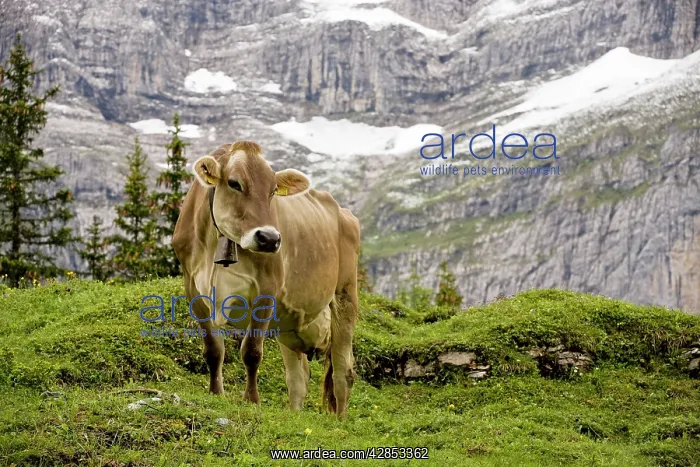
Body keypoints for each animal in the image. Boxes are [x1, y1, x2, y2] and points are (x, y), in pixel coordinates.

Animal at [172, 141, 361, 417]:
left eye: (273, 191)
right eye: (235, 183)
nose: (270, 239)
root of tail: (344, 213)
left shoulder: (267, 290)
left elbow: (251, 351)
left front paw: (251, 400)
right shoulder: (193, 289)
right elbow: (213, 350)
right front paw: (216, 393)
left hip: (345, 294)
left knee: (342, 370)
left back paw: (341, 420)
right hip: (289, 324)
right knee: (297, 378)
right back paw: (295, 414)